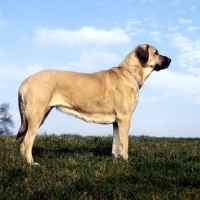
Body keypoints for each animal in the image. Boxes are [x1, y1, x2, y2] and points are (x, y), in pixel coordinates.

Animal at [16, 44, 171, 165]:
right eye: (156, 52)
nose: (170, 59)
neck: (130, 73)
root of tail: (27, 79)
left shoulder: (117, 121)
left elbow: (115, 143)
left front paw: (116, 160)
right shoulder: (125, 118)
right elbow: (124, 143)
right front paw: (125, 161)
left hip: (38, 116)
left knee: (23, 141)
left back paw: (23, 160)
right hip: (37, 115)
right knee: (28, 140)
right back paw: (31, 163)